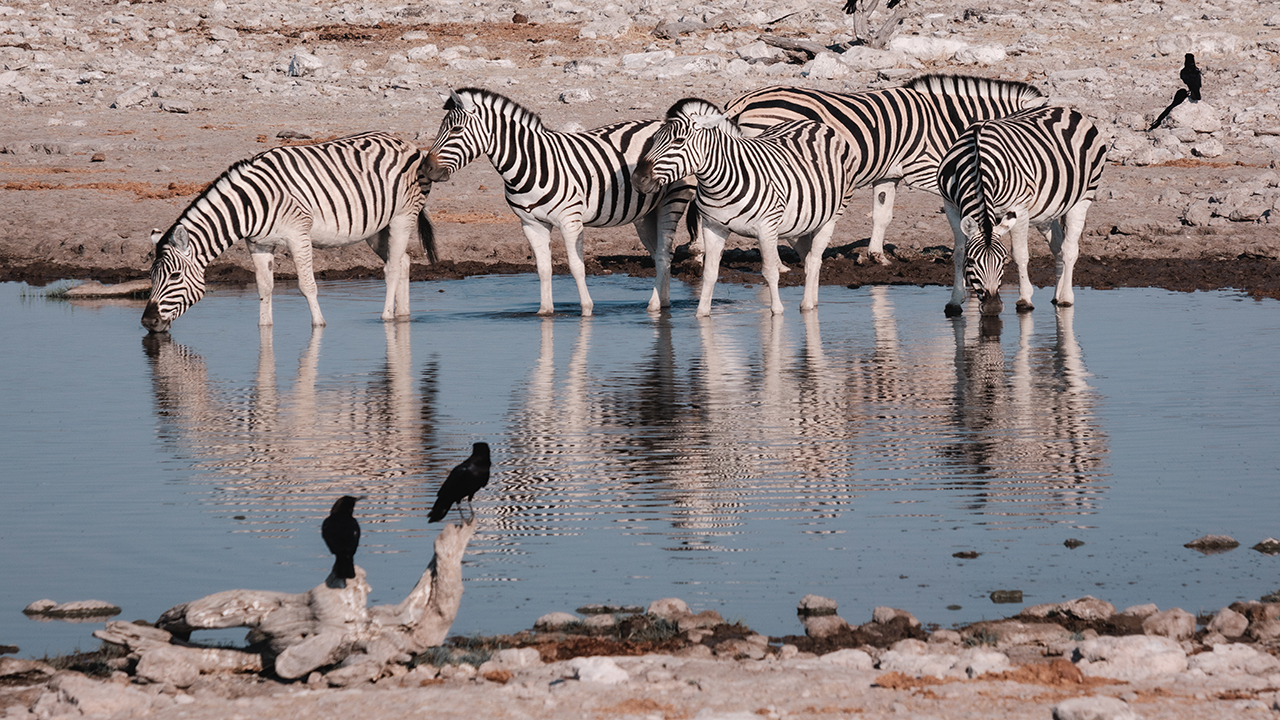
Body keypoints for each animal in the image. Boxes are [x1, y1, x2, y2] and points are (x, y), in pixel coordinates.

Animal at [143, 130, 437, 333]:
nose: (147, 322)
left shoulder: (298, 235)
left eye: (175, 276)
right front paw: (264, 327)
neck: (252, 202)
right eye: (151, 276)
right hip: (375, 227)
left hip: (402, 216)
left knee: (392, 268)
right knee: (403, 260)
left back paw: (387, 317)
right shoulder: (258, 244)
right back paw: (403, 315)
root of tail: (403, 141)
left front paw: (319, 325)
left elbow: (307, 285)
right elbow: (264, 286)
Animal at [424, 87, 696, 313]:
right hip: (645, 214)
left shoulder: (570, 221)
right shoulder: (531, 224)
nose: (427, 169)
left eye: (456, 130)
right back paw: (663, 302)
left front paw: (586, 310)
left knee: (664, 254)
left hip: (672, 201)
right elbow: (543, 269)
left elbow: (576, 266)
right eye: (440, 128)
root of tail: (662, 123)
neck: (530, 164)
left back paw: (654, 307)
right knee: (660, 254)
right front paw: (545, 313)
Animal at [632, 96, 855, 315]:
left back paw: (807, 305)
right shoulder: (713, 227)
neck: (719, 184)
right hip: (797, 222)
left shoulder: (766, 228)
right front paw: (702, 314)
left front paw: (777, 313)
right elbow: (710, 273)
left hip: (830, 217)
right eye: (653, 140)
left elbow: (770, 272)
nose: (638, 179)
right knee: (807, 259)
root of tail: (815, 123)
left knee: (815, 259)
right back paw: (813, 302)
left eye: (679, 140)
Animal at [727, 74, 1044, 263]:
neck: (945, 120)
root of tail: (744, 99)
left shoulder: (889, 175)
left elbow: (882, 215)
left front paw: (876, 255)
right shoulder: (923, 170)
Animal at [931, 105, 1111, 316]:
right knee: (1057, 247)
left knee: (1069, 249)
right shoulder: (950, 205)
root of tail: (1067, 109)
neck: (977, 160)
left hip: (1083, 197)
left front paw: (1025, 299)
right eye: (972, 261)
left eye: (1002, 261)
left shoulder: (1018, 208)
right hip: (1046, 212)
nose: (992, 307)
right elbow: (958, 251)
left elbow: (1020, 254)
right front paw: (954, 301)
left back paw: (1066, 298)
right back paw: (1057, 296)